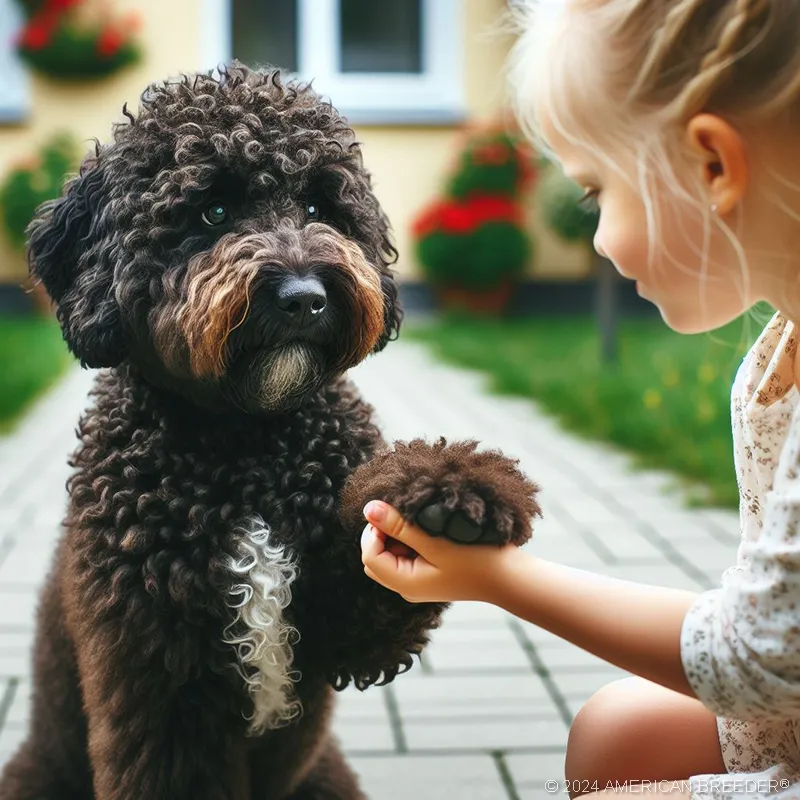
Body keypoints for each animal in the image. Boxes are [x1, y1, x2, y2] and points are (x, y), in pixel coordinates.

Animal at [0, 64, 540, 800]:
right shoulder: (159, 692)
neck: (249, 448)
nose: (305, 298)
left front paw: (453, 489)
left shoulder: (347, 629)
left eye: (319, 207)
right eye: (213, 212)